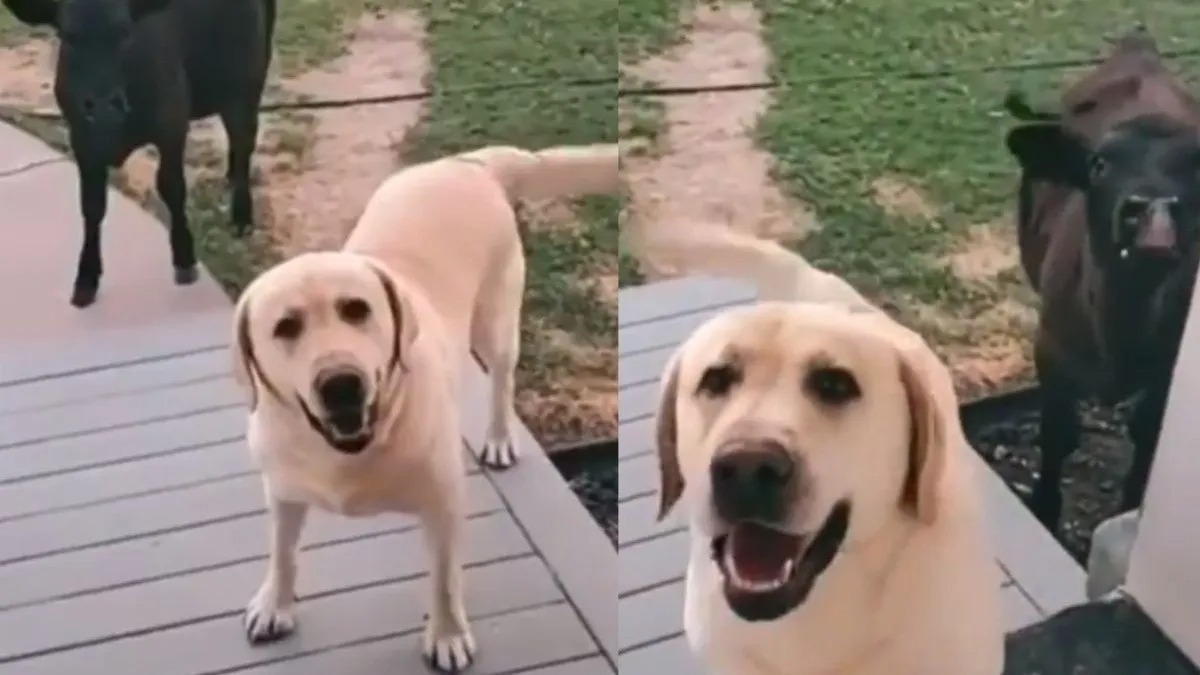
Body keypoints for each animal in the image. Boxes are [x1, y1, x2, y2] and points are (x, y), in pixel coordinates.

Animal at [231, 141, 619, 667]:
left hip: (496, 322)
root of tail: (469, 163)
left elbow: (444, 579)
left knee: (501, 379)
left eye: (357, 309)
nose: (341, 383)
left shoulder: (443, 503)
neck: (349, 451)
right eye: (286, 327)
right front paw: (275, 604)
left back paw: (499, 437)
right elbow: (282, 552)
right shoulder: (283, 493)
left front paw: (448, 635)